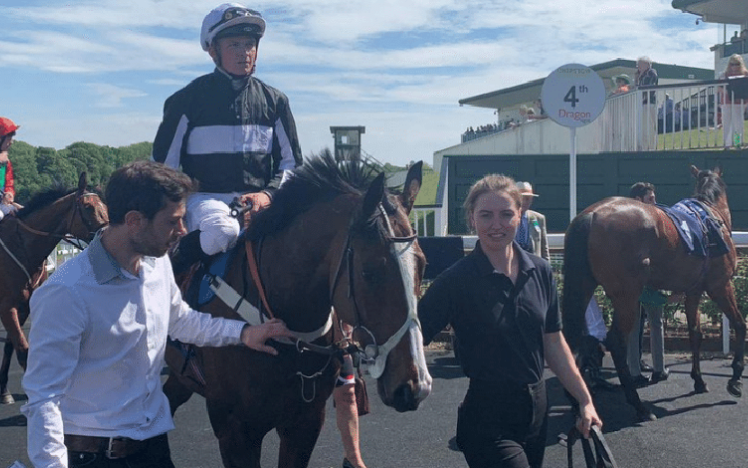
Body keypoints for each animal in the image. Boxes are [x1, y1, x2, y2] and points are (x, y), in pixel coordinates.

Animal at [0, 174, 109, 404]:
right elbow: (23, 350)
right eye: (87, 207)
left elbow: (11, 346)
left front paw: (4, 390)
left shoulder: (23, 306)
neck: (21, 246)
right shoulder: (6, 307)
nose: (106, 232)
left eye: (103, 205)